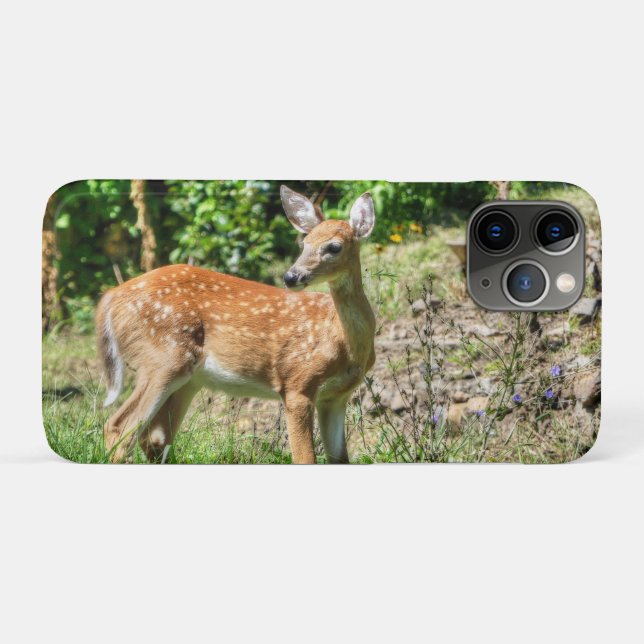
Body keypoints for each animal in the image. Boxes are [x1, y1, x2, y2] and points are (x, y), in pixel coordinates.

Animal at [96, 186, 377, 464]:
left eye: (334, 247)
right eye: (304, 243)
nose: (291, 276)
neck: (342, 342)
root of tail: (110, 297)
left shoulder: (336, 397)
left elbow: (340, 458)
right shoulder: (297, 383)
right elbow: (305, 459)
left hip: (188, 379)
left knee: (154, 437)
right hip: (163, 357)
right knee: (119, 427)